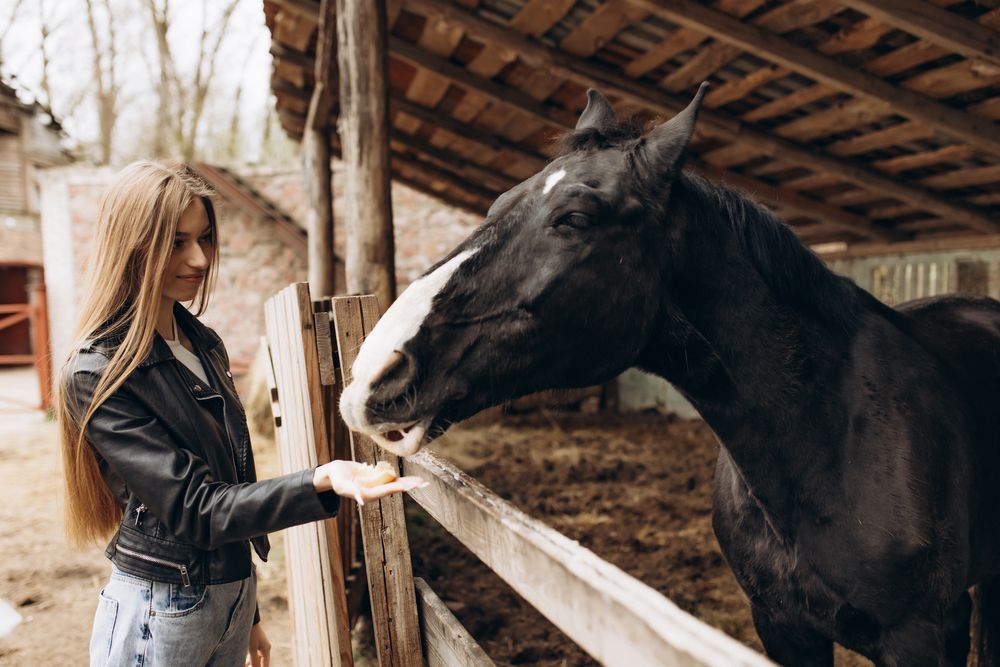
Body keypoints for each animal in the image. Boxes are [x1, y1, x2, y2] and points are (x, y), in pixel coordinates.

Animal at [342, 86, 1000, 664]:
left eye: (574, 217)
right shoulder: (782, 627)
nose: (374, 374)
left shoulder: (924, 636)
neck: (834, 438)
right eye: (501, 201)